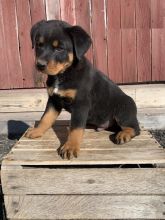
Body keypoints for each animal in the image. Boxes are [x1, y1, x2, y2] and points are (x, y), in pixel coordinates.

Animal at [26, 19, 141, 159]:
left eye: (59, 49)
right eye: (39, 45)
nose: (40, 65)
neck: (63, 73)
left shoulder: (81, 103)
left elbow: (75, 128)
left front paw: (70, 147)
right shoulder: (54, 100)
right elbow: (45, 118)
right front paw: (37, 131)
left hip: (123, 108)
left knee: (135, 127)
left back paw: (124, 134)